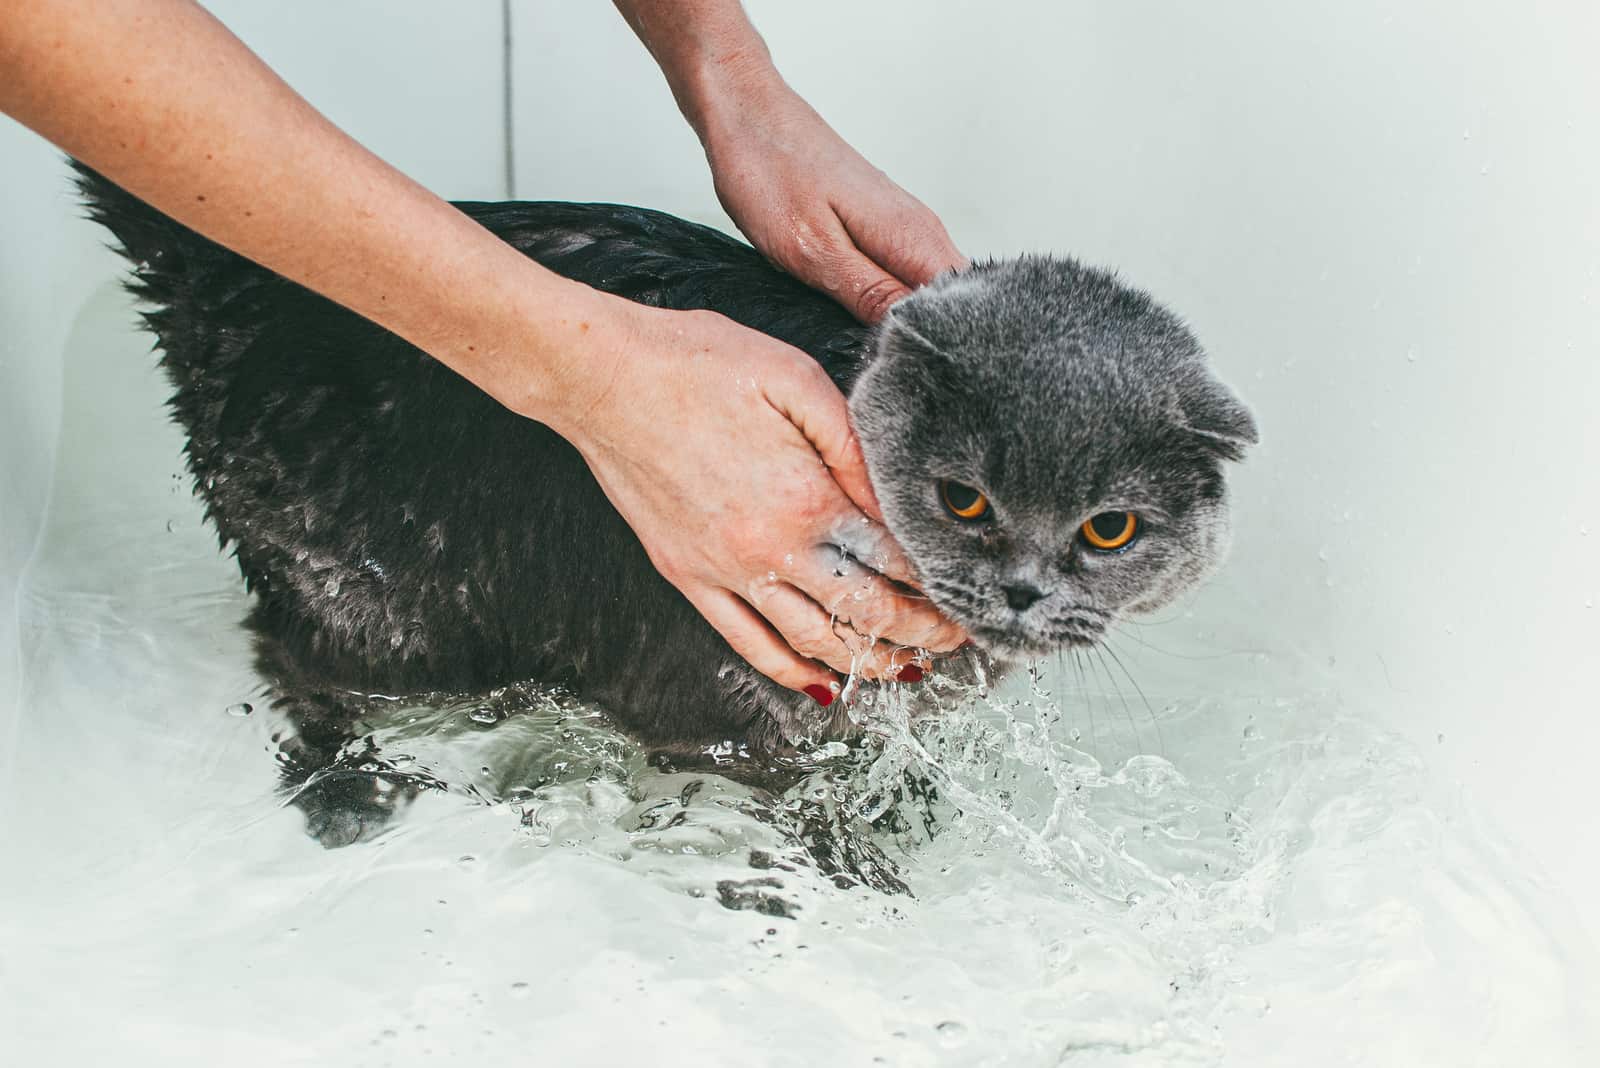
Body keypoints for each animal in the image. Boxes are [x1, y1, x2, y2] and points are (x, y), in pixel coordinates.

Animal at [75, 164, 1254, 757]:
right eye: (965, 500)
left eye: (1109, 529)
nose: (1020, 589)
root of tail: (224, 274)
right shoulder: (737, 709)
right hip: (366, 595)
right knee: (295, 662)